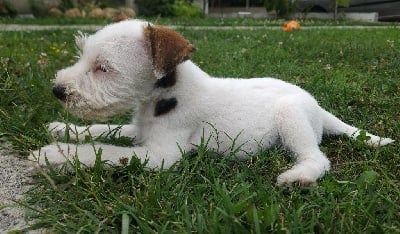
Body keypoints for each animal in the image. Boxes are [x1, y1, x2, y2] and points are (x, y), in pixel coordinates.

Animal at [31, 19, 394, 186]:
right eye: (84, 57)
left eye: (103, 68)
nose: (58, 91)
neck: (164, 94)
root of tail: (317, 107)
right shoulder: (140, 129)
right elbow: (104, 131)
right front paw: (61, 129)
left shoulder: (160, 155)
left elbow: (105, 151)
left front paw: (55, 155)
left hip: (292, 118)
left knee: (317, 157)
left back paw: (298, 176)